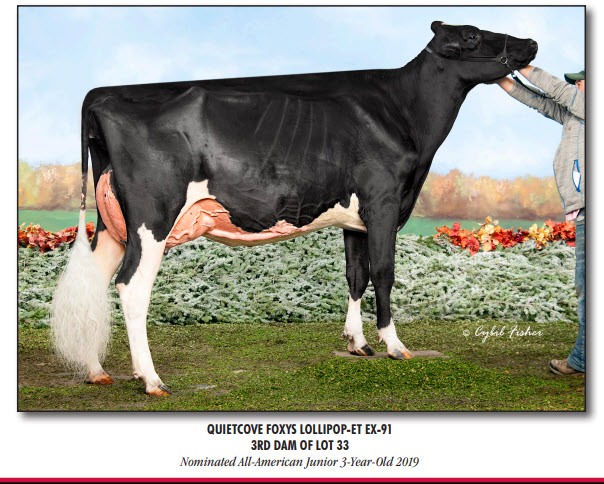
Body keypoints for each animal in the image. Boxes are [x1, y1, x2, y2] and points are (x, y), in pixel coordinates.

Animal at [51, 21, 538, 396]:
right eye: (472, 35)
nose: (531, 43)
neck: (403, 110)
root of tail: (104, 94)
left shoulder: (355, 218)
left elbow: (356, 275)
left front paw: (357, 343)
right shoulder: (383, 202)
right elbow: (383, 273)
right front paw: (395, 345)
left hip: (114, 223)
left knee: (96, 282)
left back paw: (96, 370)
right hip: (152, 218)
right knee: (131, 287)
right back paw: (151, 379)